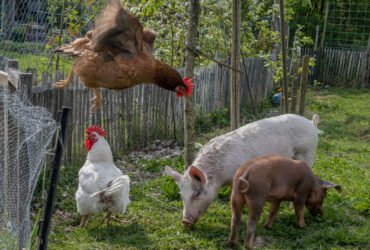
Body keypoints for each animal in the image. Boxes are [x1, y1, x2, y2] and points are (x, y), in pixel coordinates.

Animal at [165, 114, 320, 228]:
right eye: (181, 195)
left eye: (196, 194)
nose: (185, 221)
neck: (220, 177)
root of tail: (310, 122)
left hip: (308, 152)